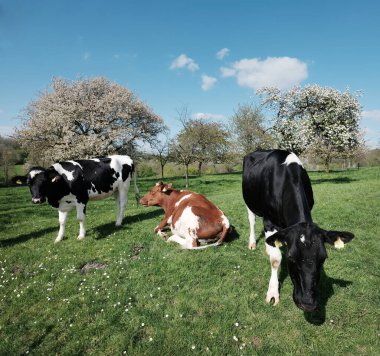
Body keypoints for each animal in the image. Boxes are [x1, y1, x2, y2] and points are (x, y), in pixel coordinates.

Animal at [242, 149, 354, 312]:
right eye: (291, 258)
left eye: (323, 258)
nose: (307, 303)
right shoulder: (269, 221)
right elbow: (275, 260)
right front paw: (273, 293)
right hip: (249, 201)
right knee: (252, 219)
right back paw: (252, 243)